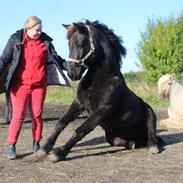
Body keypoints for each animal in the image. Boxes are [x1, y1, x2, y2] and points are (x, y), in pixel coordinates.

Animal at [36, 20, 159, 163]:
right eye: (68, 45)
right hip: (112, 136)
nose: (72, 73)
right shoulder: (79, 103)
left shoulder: (103, 109)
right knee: (123, 141)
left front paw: (58, 153)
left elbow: (80, 130)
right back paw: (132, 143)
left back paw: (153, 147)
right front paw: (44, 149)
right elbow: (61, 122)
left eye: (79, 45)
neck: (101, 80)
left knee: (152, 134)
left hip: (150, 113)